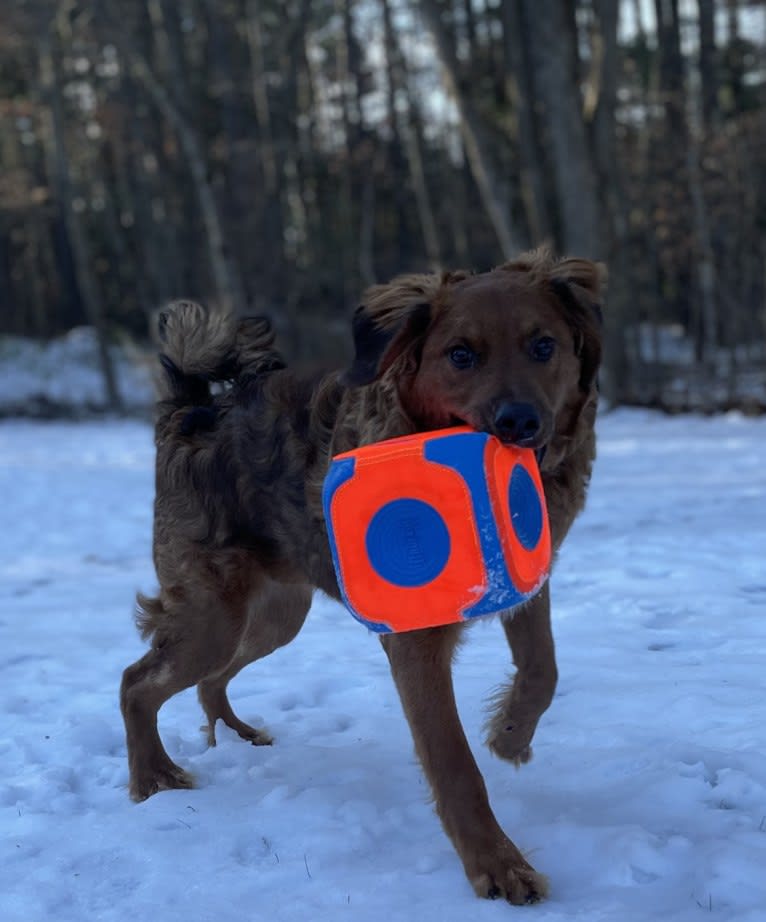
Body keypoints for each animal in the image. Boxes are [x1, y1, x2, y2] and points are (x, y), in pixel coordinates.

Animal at [121, 244, 608, 900]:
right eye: (461, 354)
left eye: (543, 346)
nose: (519, 423)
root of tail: (193, 409)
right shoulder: (414, 640)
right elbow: (454, 764)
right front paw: (499, 867)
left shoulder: (525, 580)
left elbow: (542, 670)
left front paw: (510, 735)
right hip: (212, 617)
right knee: (136, 682)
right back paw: (152, 779)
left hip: (276, 614)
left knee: (207, 680)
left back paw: (238, 736)